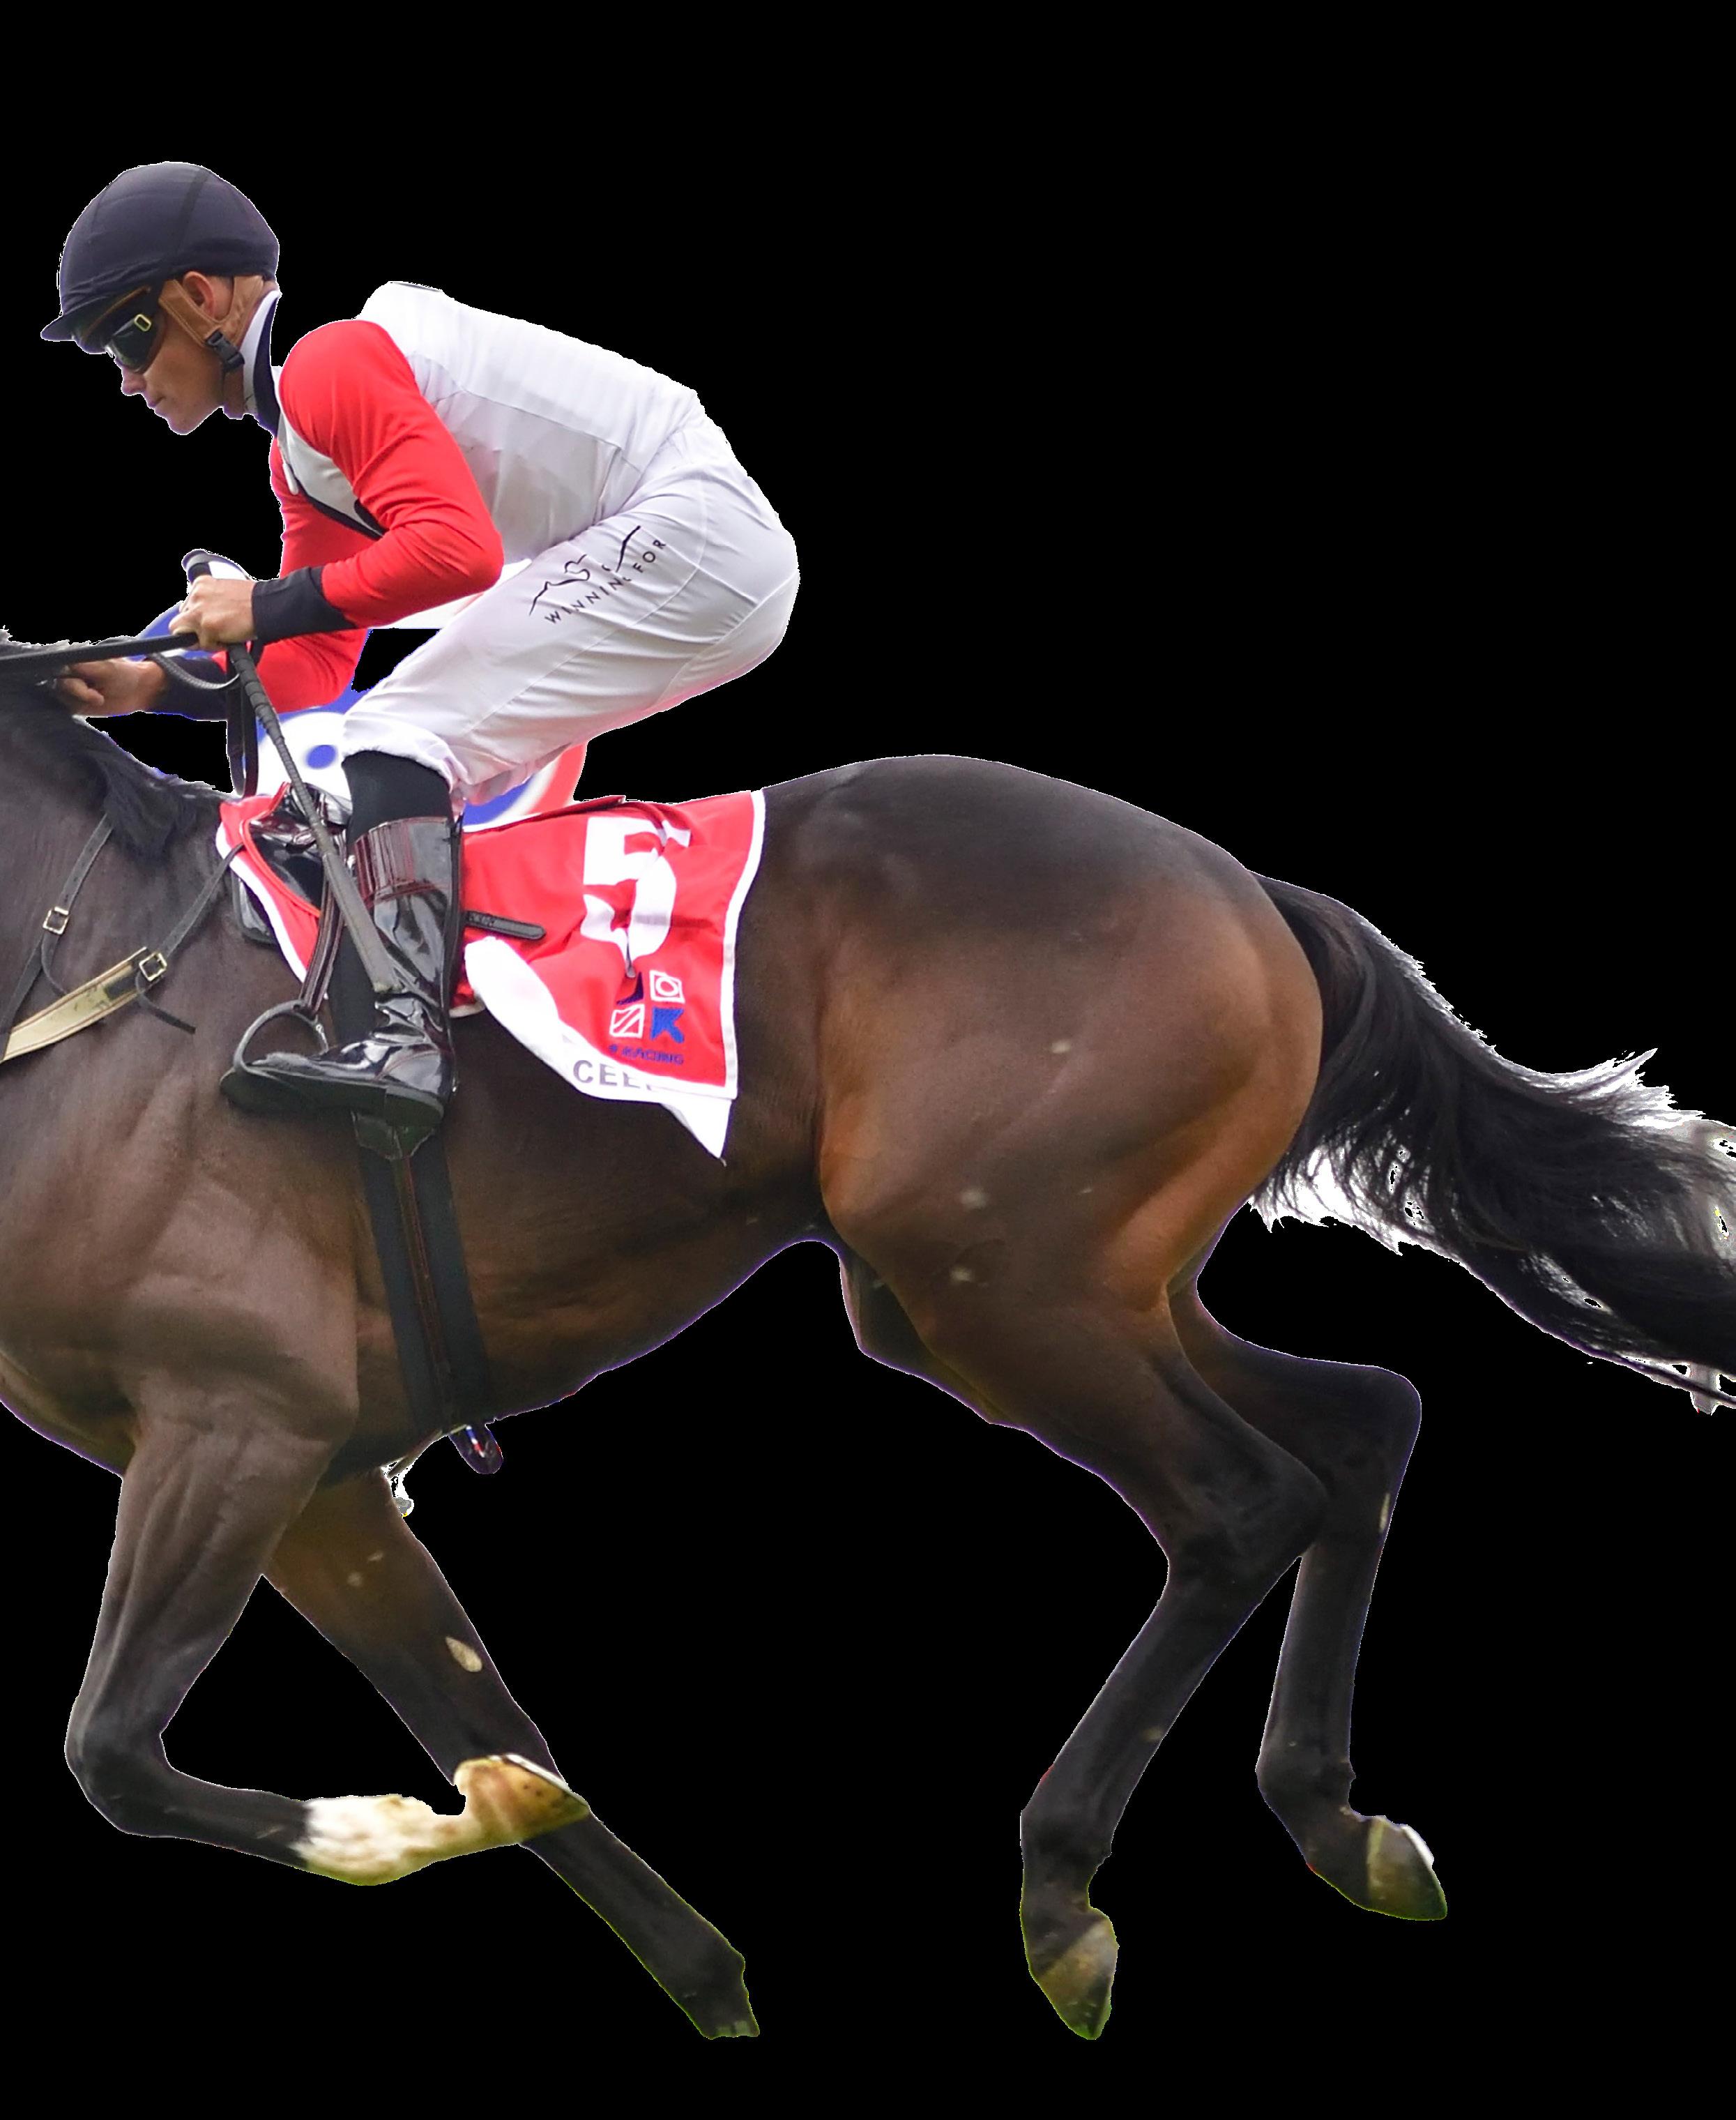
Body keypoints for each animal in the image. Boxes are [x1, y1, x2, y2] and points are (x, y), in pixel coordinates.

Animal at [1, 670, 1730, 2042]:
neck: (85, 975)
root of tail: (1244, 882)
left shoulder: (240, 1419)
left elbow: (113, 1750)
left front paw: (391, 1833)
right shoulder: (318, 1475)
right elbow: (490, 1727)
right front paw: (695, 1969)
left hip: (1001, 1272)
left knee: (1243, 1501)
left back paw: (1064, 1889)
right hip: (1062, 1285)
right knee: (1366, 1418)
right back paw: (1335, 1812)